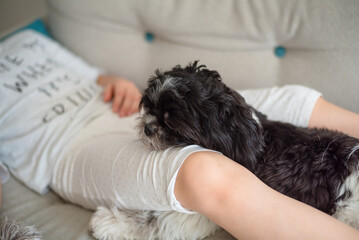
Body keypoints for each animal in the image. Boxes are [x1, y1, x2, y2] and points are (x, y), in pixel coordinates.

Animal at [90, 62, 359, 240]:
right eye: (150, 108)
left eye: (170, 122)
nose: (147, 127)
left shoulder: (200, 215)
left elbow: (158, 222)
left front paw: (109, 223)